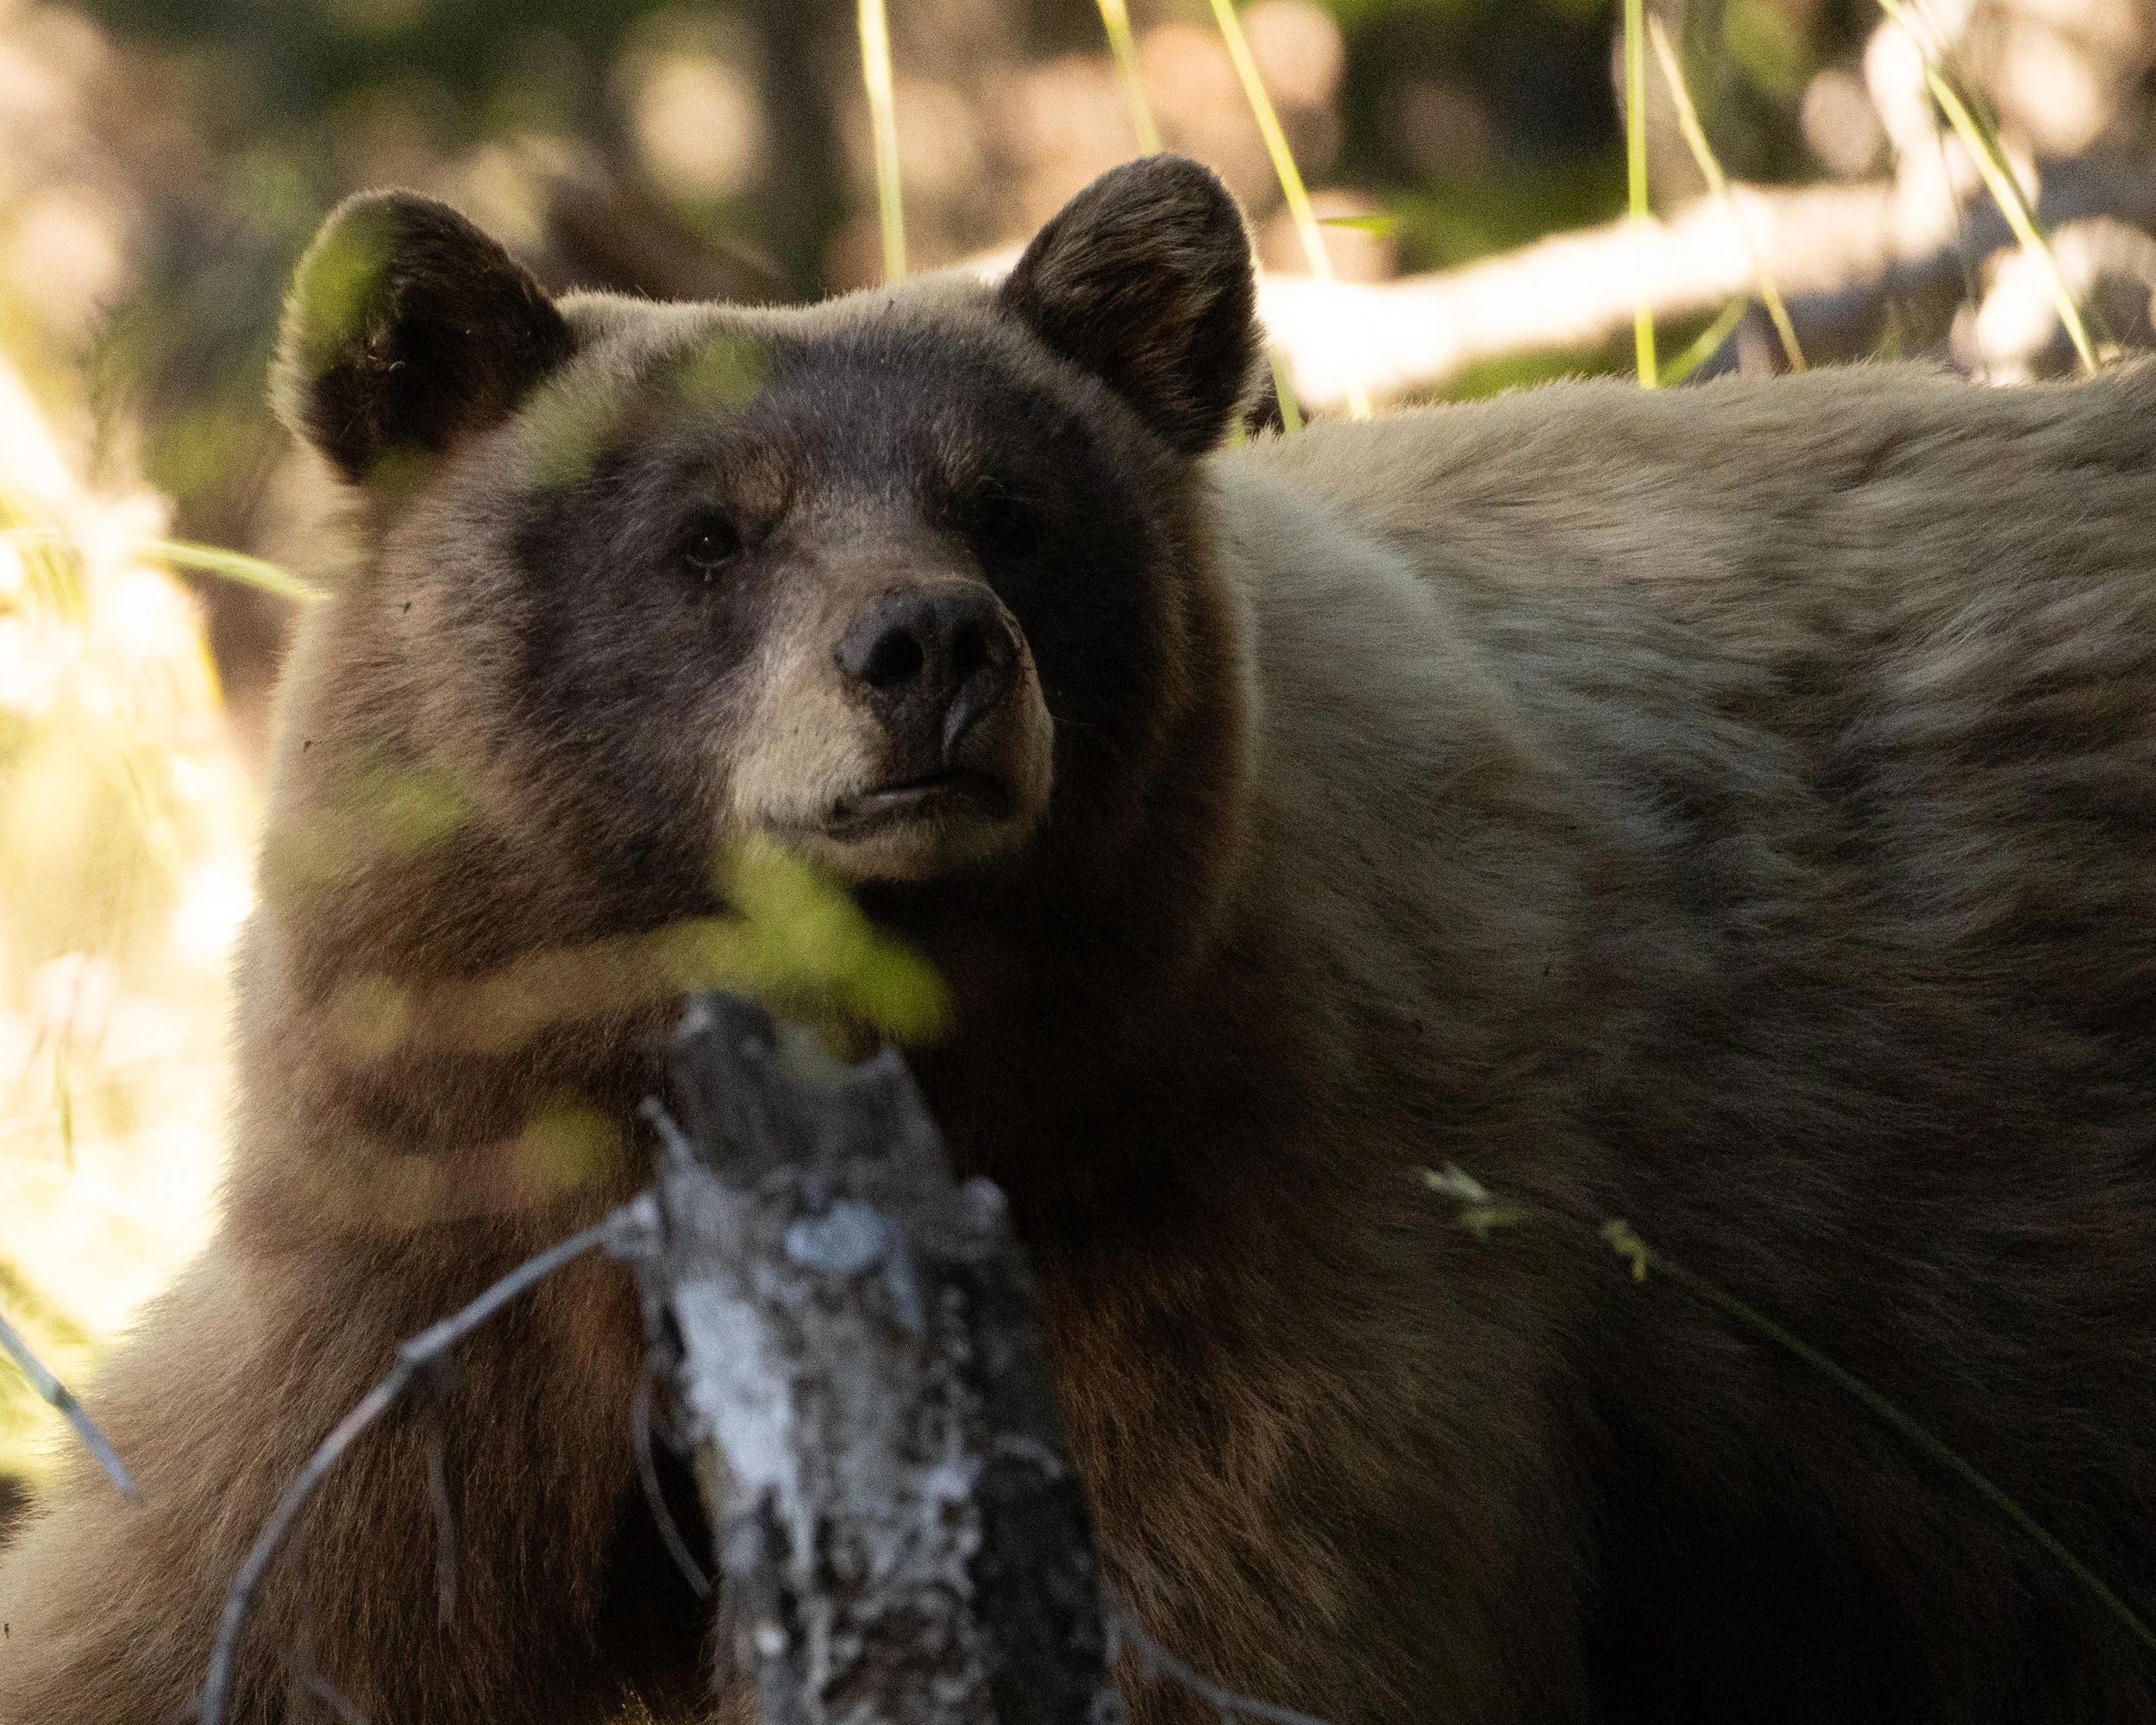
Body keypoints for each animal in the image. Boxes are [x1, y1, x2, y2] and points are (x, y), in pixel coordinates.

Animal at [6, 150, 2156, 1724]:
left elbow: (1227, 1628)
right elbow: (190, 1600)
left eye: (1008, 510)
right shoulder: (435, 1275)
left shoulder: (1241, 1252)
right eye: (711, 531)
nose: (929, 652)